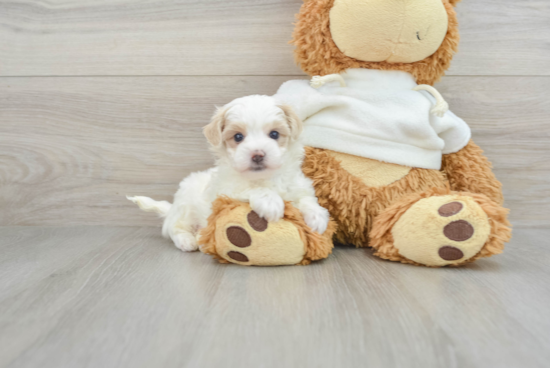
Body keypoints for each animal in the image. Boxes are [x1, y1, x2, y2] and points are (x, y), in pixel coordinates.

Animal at [127, 93, 330, 252]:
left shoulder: (298, 185)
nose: (257, 155)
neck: (264, 178)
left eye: (274, 134)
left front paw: (317, 216)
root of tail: (172, 208)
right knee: (174, 228)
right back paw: (188, 240)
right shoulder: (226, 190)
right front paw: (270, 202)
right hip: (185, 205)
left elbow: (306, 198)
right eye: (238, 137)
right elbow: (250, 189)